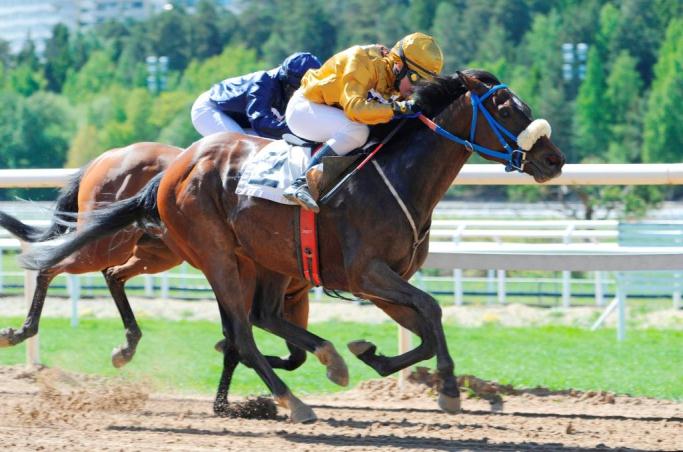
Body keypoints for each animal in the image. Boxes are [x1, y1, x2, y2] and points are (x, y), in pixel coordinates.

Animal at [0, 141, 316, 414]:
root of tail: (105, 157)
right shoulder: (244, 279)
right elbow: (241, 336)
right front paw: (229, 402)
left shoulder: (294, 296)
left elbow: (293, 354)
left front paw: (235, 399)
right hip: (103, 245)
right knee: (50, 267)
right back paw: (20, 331)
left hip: (153, 252)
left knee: (113, 275)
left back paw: (127, 346)